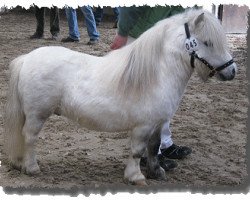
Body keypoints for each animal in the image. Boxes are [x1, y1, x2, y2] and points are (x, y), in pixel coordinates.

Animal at [4, 8, 237, 185]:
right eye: (208, 42)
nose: (232, 71)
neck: (156, 75)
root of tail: (27, 58)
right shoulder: (142, 126)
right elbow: (137, 151)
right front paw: (135, 177)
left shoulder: (158, 123)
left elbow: (154, 148)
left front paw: (157, 172)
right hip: (37, 114)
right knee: (30, 137)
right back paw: (31, 167)